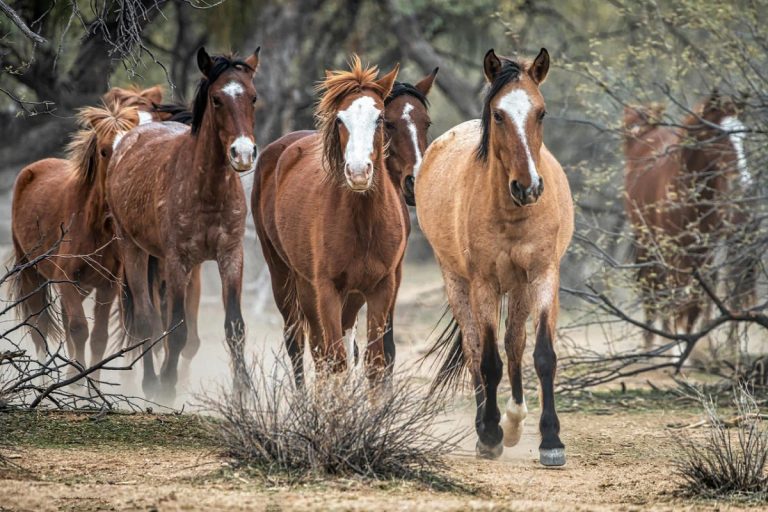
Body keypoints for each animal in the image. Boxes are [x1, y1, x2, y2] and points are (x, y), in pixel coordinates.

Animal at [11, 102, 140, 381]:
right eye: (104, 151)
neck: (95, 227)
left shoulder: (107, 285)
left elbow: (98, 337)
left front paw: (89, 383)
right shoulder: (66, 278)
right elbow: (79, 328)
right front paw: (80, 383)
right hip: (31, 272)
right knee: (39, 329)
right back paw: (44, 380)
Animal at [105, 47, 260, 403]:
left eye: (253, 97)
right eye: (216, 99)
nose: (243, 153)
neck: (207, 189)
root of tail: (129, 140)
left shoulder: (231, 256)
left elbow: (235, 326)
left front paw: (243, 390)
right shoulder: (178, 261)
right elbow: (175, 328)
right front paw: (166, 384)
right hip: (133, 249)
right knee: (146, 319)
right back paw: (150, 382)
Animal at [252, 69, 437, 386]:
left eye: (426, 122)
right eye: (340, 120)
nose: (359, 172)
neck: (363, 223)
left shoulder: (382, 286)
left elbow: (376, 358)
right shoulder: (328, 289)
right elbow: (336, 360)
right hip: (284, 277)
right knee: (300, 347)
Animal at [416, 48, 573, 466]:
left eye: (541, 112)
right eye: (499, 114)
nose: (527, 187)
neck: (512, 213)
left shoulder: (544, 276)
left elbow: (542, 354)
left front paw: (551, 440)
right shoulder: (483, 284)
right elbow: (487, 361)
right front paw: (489, 433)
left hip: (518, 288)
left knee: (515, 343)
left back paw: (516, 421)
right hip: (458, 283)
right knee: (474, 350)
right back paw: (486, 427)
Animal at [623, 92, 749, 349]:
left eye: (743, 135)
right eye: (718, 134)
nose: (743, 178)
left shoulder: (706, 252)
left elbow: (698, 302)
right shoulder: (675, 252)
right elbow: (678, 299)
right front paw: (680, 345)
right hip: (646, 243)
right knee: (653, 292)